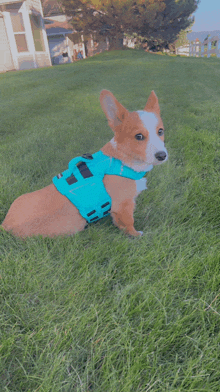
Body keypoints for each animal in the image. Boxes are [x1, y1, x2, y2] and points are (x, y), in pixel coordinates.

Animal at [1, 90, 168, 237]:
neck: (121, 161)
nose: (162, 155)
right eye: (138, 136)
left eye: (160, 131)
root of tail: (5, 225)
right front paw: (136, 235)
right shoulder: (123, 205)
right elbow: (128, 223)